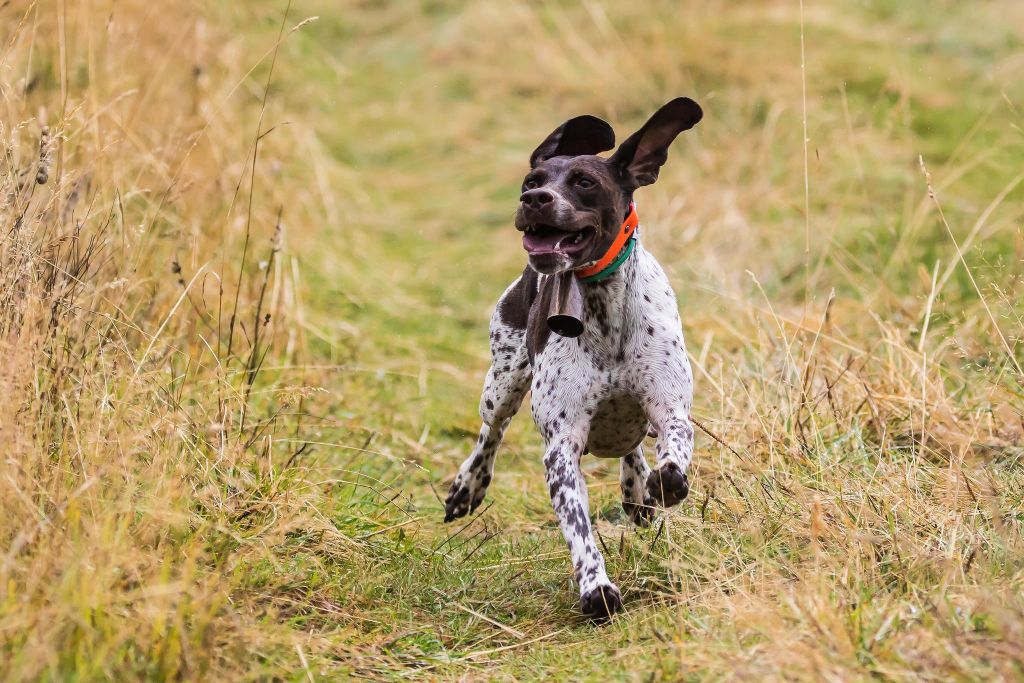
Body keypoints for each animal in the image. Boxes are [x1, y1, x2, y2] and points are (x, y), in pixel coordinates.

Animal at [444, 97, 700, 618]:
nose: (534, 199)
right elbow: (580, 530)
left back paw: (638, 487)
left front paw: (661, 483)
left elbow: (673, 454)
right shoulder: (562, 448)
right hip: (502, 382)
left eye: (584, 182)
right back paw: (468, 487)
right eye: (531, 181)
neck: (604, 311)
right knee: (490, 433)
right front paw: (596, 588)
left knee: (633, 445)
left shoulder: (670, 408)